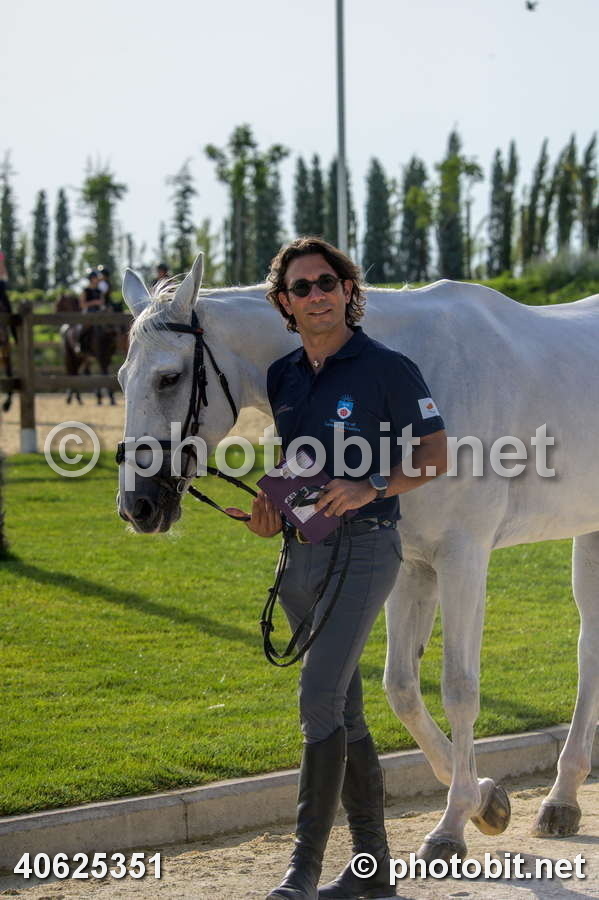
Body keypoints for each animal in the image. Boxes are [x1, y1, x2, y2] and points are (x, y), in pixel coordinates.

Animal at [117, 252, 599, 863]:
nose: (138, 506)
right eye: (121, 380)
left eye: (170, 377)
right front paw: (486, 799)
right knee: (590, 650)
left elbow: (460, 688)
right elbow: (401, 688)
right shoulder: (410, 565)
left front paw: (451, 827)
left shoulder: (464, 558)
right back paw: (562, 799)